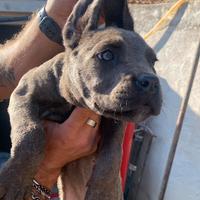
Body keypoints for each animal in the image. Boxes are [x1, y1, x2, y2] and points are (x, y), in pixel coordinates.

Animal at [0, 0, 162, 199]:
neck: (72, 102)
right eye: (106, 55)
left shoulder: (116, 122)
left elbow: (113, 154)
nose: (151, 81)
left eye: (153, 61)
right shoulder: (24, 94)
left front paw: (104, 191)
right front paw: (15, 179)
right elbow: (31, 133)